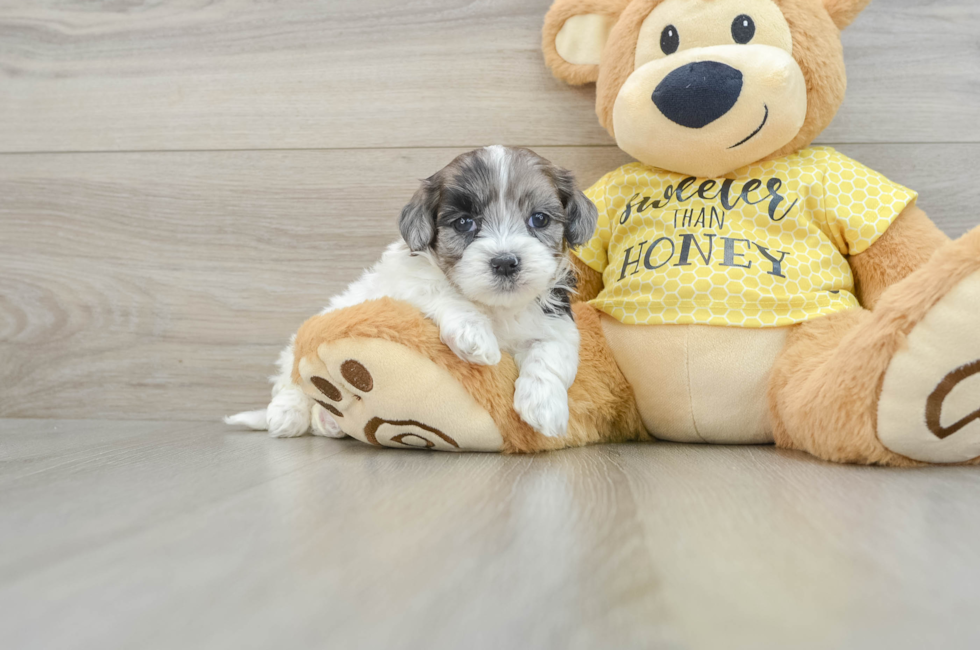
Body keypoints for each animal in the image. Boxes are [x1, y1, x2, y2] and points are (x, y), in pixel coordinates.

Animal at [230, 146, 596, 438]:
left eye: (539, 219)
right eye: (464, 223)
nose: (505, 262)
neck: (495, 307)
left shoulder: (556, 322)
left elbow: (552, 354)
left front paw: (544, 406)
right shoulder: (403, 283)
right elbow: (440, 290)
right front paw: (474, 335)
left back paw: (327, 422)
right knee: (291, 378)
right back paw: (287, 414)